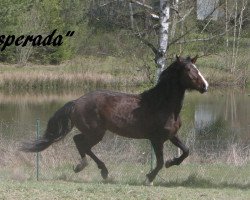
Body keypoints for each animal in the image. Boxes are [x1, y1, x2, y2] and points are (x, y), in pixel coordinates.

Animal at [21, 54, 209, 184]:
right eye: (188, 70)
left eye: (197, 68)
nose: (205, 86)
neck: (162, 104)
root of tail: (76, 102)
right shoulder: (156, 139)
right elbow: (160, 162)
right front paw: (149, 178)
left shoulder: (171, 136)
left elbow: (185, 151)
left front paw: (172, 162)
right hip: (96, 132)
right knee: (81, 143)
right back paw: (95, 169)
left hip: (95, 132)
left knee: (80, 142)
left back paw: (87, 167)